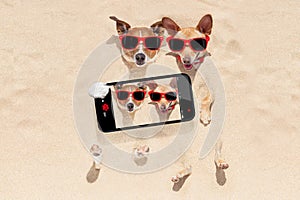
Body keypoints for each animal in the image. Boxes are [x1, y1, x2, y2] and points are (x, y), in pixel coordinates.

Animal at [163, 14, 229, 170]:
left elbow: (207, 98)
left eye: (197, 44)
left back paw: (220, 162)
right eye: (179, 45)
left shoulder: (212, 88)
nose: (186, 60)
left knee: (217, 150)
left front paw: (205, 114)